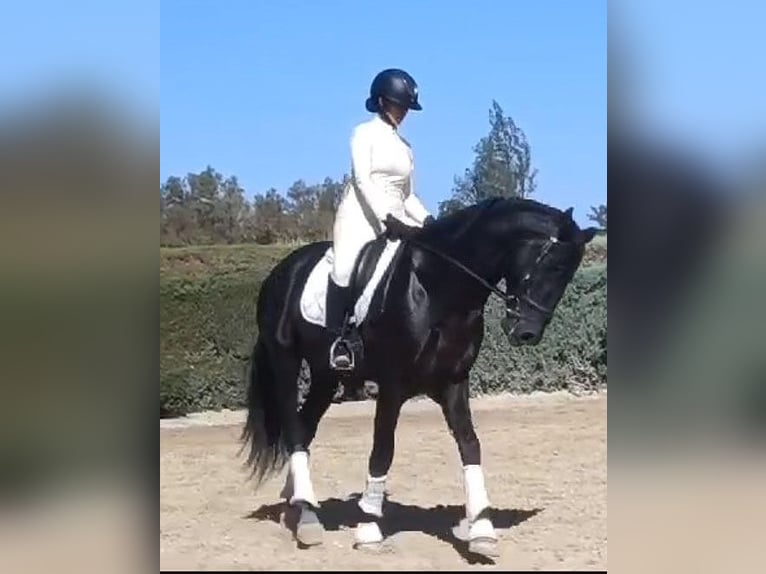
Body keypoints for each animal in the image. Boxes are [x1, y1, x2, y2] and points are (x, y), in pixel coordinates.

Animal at [240, 197, 598, 557]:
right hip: (286, 362)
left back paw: (302, 507)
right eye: (552, 266)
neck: (436, 286)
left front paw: (482, 530)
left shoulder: (454, 382)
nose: (526, 334)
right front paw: (369, 528)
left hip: (326, 376)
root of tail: (283, 269)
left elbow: (470, 444)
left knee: (306, 427)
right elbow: (383, 448)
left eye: (567, 274)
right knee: (294, 429)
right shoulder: (392, 385)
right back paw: (307, 514)